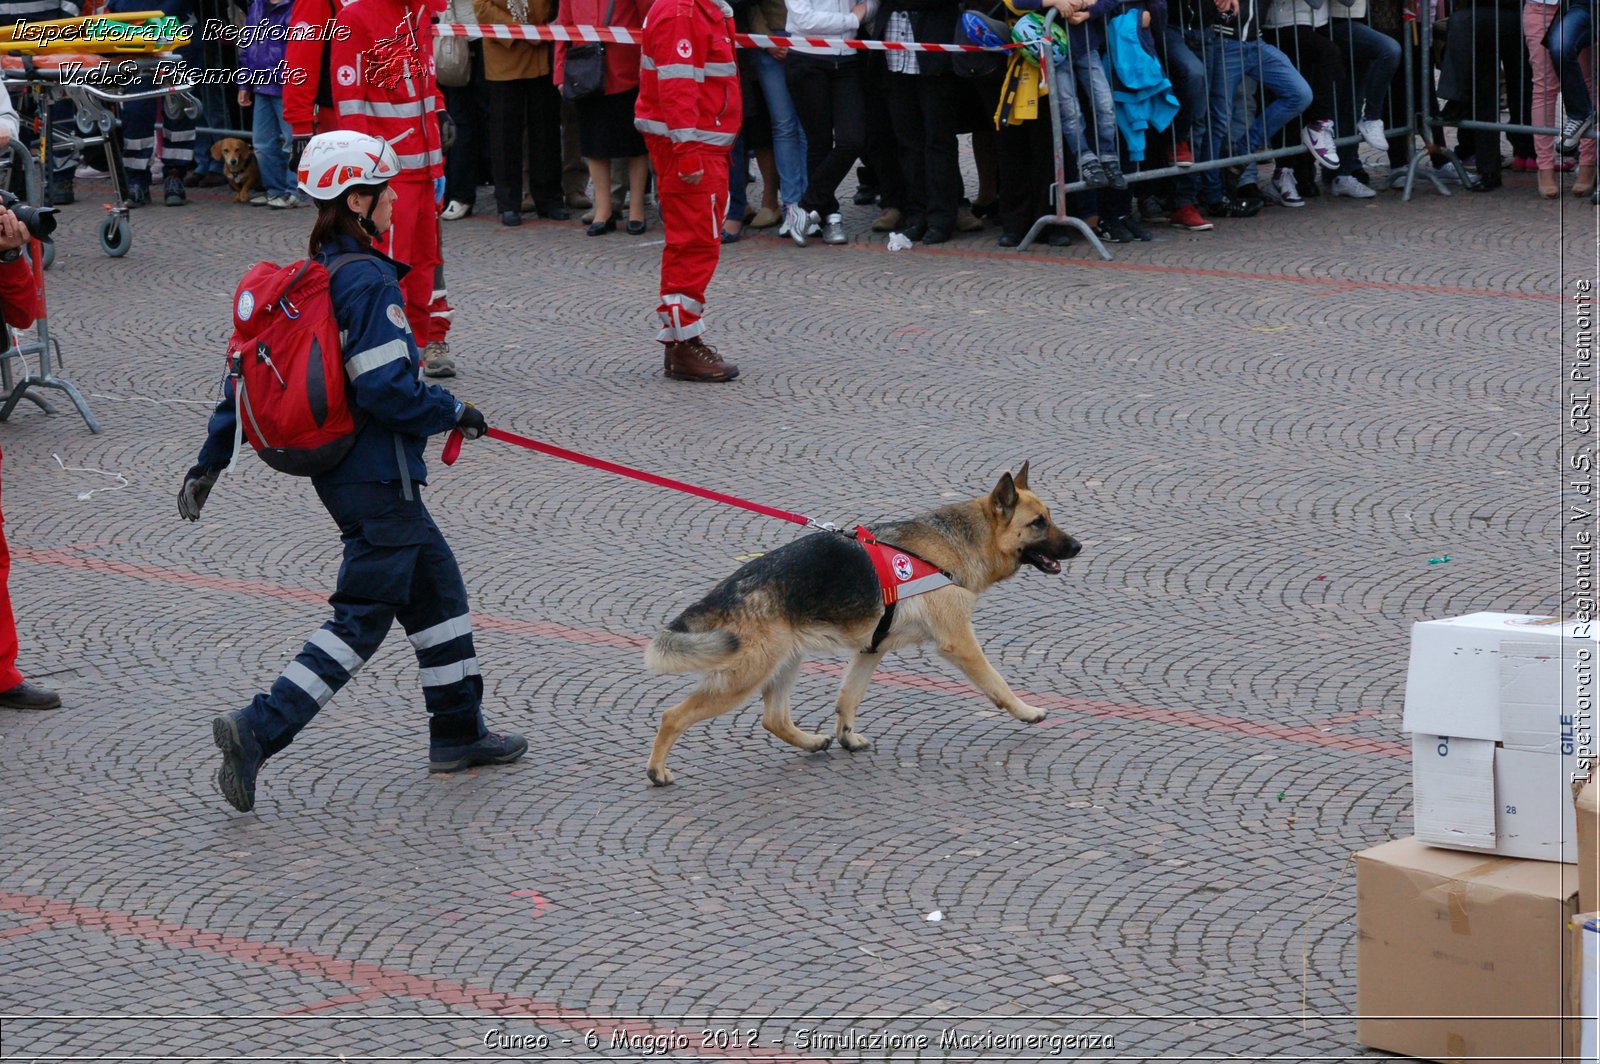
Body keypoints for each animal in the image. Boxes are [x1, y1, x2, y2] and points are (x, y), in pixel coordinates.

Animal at [643, 460, 1081, 784]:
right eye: (1038, 523)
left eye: (1049, 517)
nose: (1078, 546)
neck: (957, 544)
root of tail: (730, 589)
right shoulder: (960, 642)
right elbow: (997, 684)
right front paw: (1027, 711)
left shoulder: (872, 649)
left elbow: (847, 699)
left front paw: (846, 738)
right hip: (743, 678)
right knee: (672, 716)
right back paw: (657, 771)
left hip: (785, 663)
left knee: (774, 718)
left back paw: (811, 742)